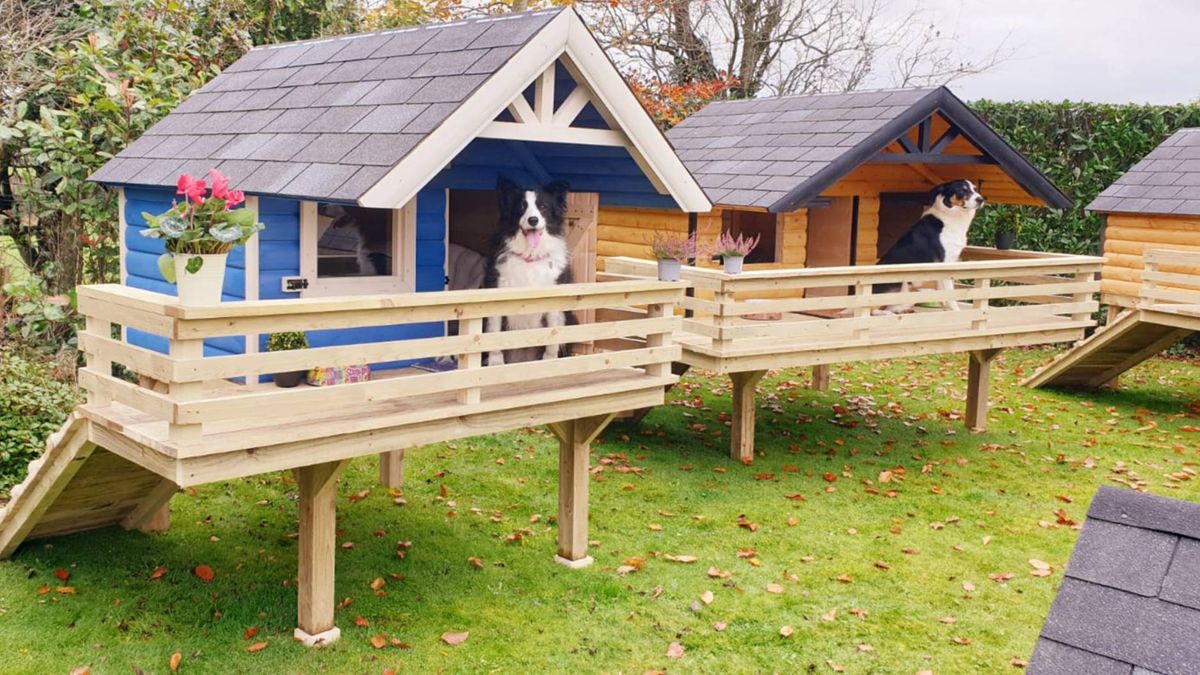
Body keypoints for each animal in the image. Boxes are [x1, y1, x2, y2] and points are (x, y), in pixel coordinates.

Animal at [482, 172, 571, 362]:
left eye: (543, 207)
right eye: (521, 207)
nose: (533, 220)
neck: (530, 256)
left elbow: (553, 334)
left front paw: (550, 361)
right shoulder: (497, 286)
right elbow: (494, 328)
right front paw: (495, 362)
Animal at [873, 180, 984, 314]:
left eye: (974, 189)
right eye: (963, 190)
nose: (981, 199)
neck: (951, 216)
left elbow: (943, 296)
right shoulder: (945, 265)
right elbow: (950, 296)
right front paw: (956, 313)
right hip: (898, 283)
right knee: (871, 309)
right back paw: (887, 313)